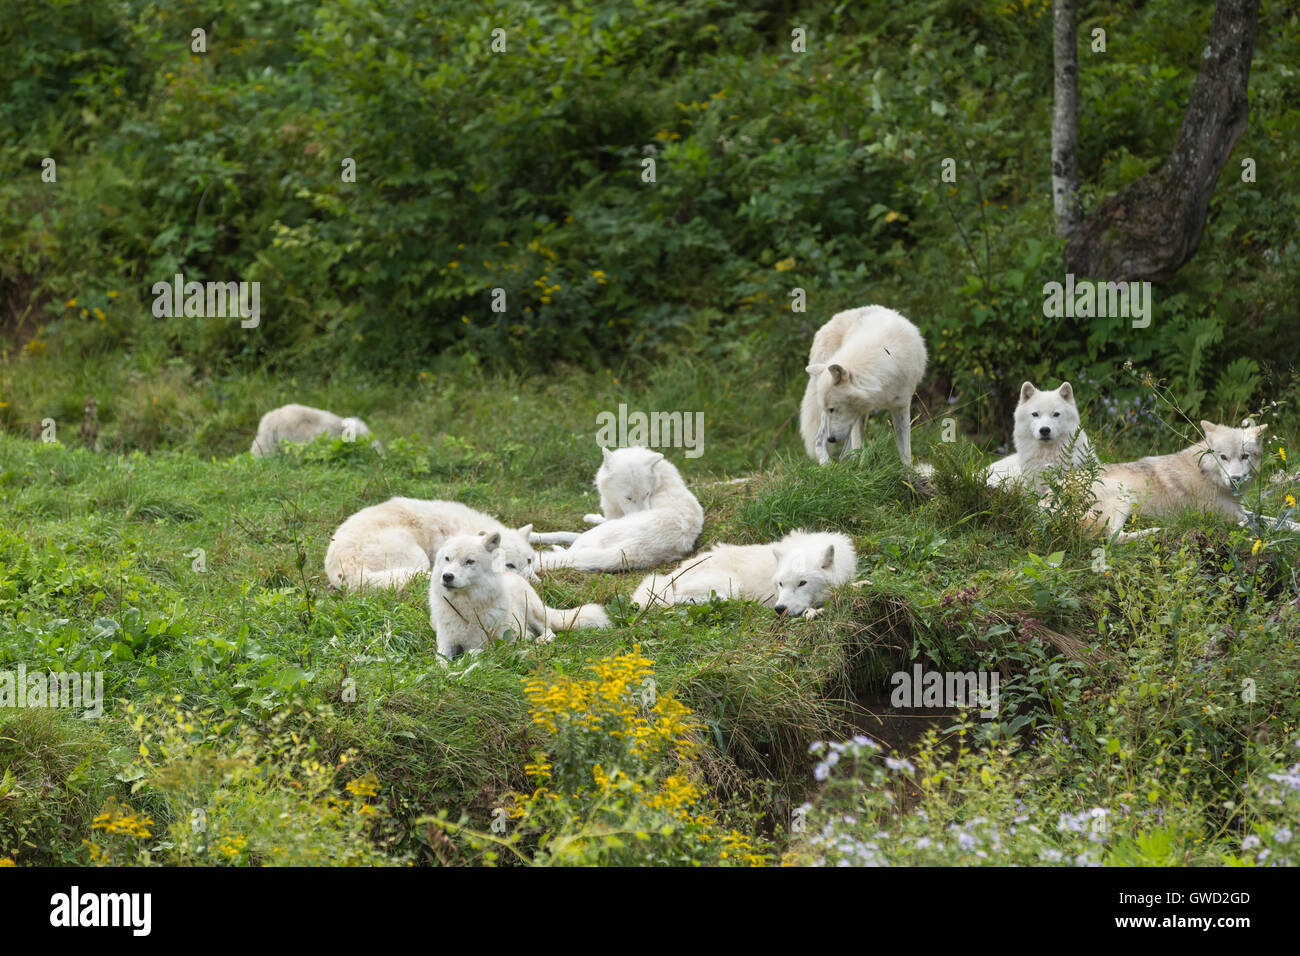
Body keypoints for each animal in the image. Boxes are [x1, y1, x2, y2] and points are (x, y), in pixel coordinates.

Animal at [429, 532, 609, 660]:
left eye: (469, 561)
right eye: (447, 559)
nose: (447, 576)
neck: (464, 608)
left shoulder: (491, 644)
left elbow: (473, 652)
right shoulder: (445, 642)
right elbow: (441, 659)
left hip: (533, 611)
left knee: (549, 630)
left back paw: (540, 640)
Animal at [533, 446, 704, 572]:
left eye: (646, 494)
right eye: (628, 498)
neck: (661, 483)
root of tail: (636, 547)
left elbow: (564, 534)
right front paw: (591, 517)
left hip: (594, 536)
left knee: (571, 551)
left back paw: (553, 548)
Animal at [800, 305, 927, 467]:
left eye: (832, 409)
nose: (831, 439)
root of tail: (828, 323)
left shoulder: (901, 406)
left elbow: (905, 452)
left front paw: (907, 471)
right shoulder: (858, 415)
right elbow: (858, 448)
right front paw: (860, 469)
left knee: (842, 452)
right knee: (818, 440)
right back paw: (827, 465)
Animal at [1088, 420, 1299, 543]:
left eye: (1245, 456)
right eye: (1223, 457)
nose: (1235, 479)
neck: (1207, 475)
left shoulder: (1239, 510)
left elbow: (1275, 519)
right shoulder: (1233, 516)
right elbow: (1269, 524)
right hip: (1123, 498)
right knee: (1111, 538)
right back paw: (1157, 531)